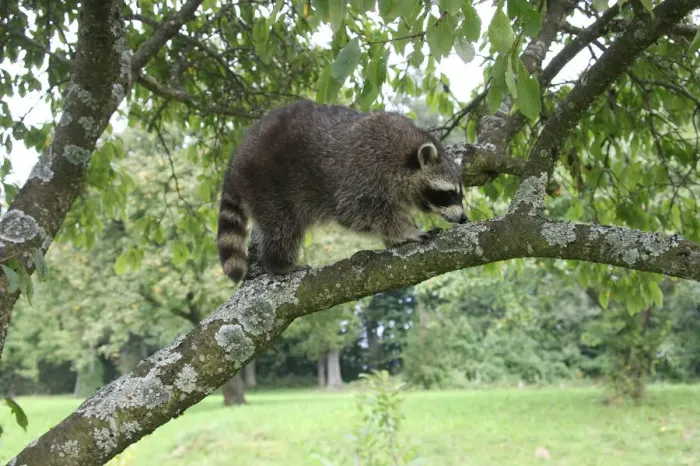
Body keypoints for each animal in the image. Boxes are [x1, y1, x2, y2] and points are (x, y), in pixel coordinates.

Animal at [217, 100, 466, 282]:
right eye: (449, 193)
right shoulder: (363, 170)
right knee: (282, 223)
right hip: (267, 180)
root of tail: (237, 157)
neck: (402, 154)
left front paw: (395, 237)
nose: (464, 218)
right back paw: (279, 262)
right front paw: (407, 230)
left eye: (460, 193)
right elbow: (358, 212)